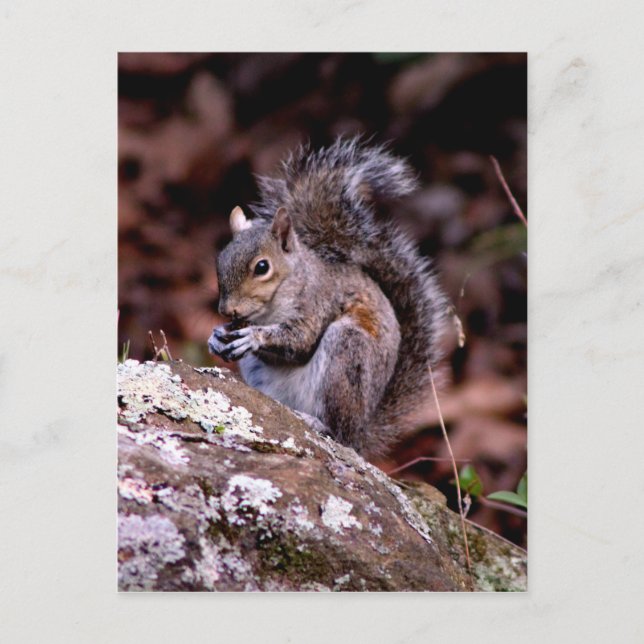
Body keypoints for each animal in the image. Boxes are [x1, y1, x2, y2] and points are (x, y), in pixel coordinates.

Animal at [208, 137, 447, 458]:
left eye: (262, 267)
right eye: (220, 259)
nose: (226, 310)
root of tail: (361, 433)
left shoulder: (318, 301)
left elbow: (300, 342)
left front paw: (254, 337)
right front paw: (216, 336)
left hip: (346, 352)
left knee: (339, 431)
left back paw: (319, 424)